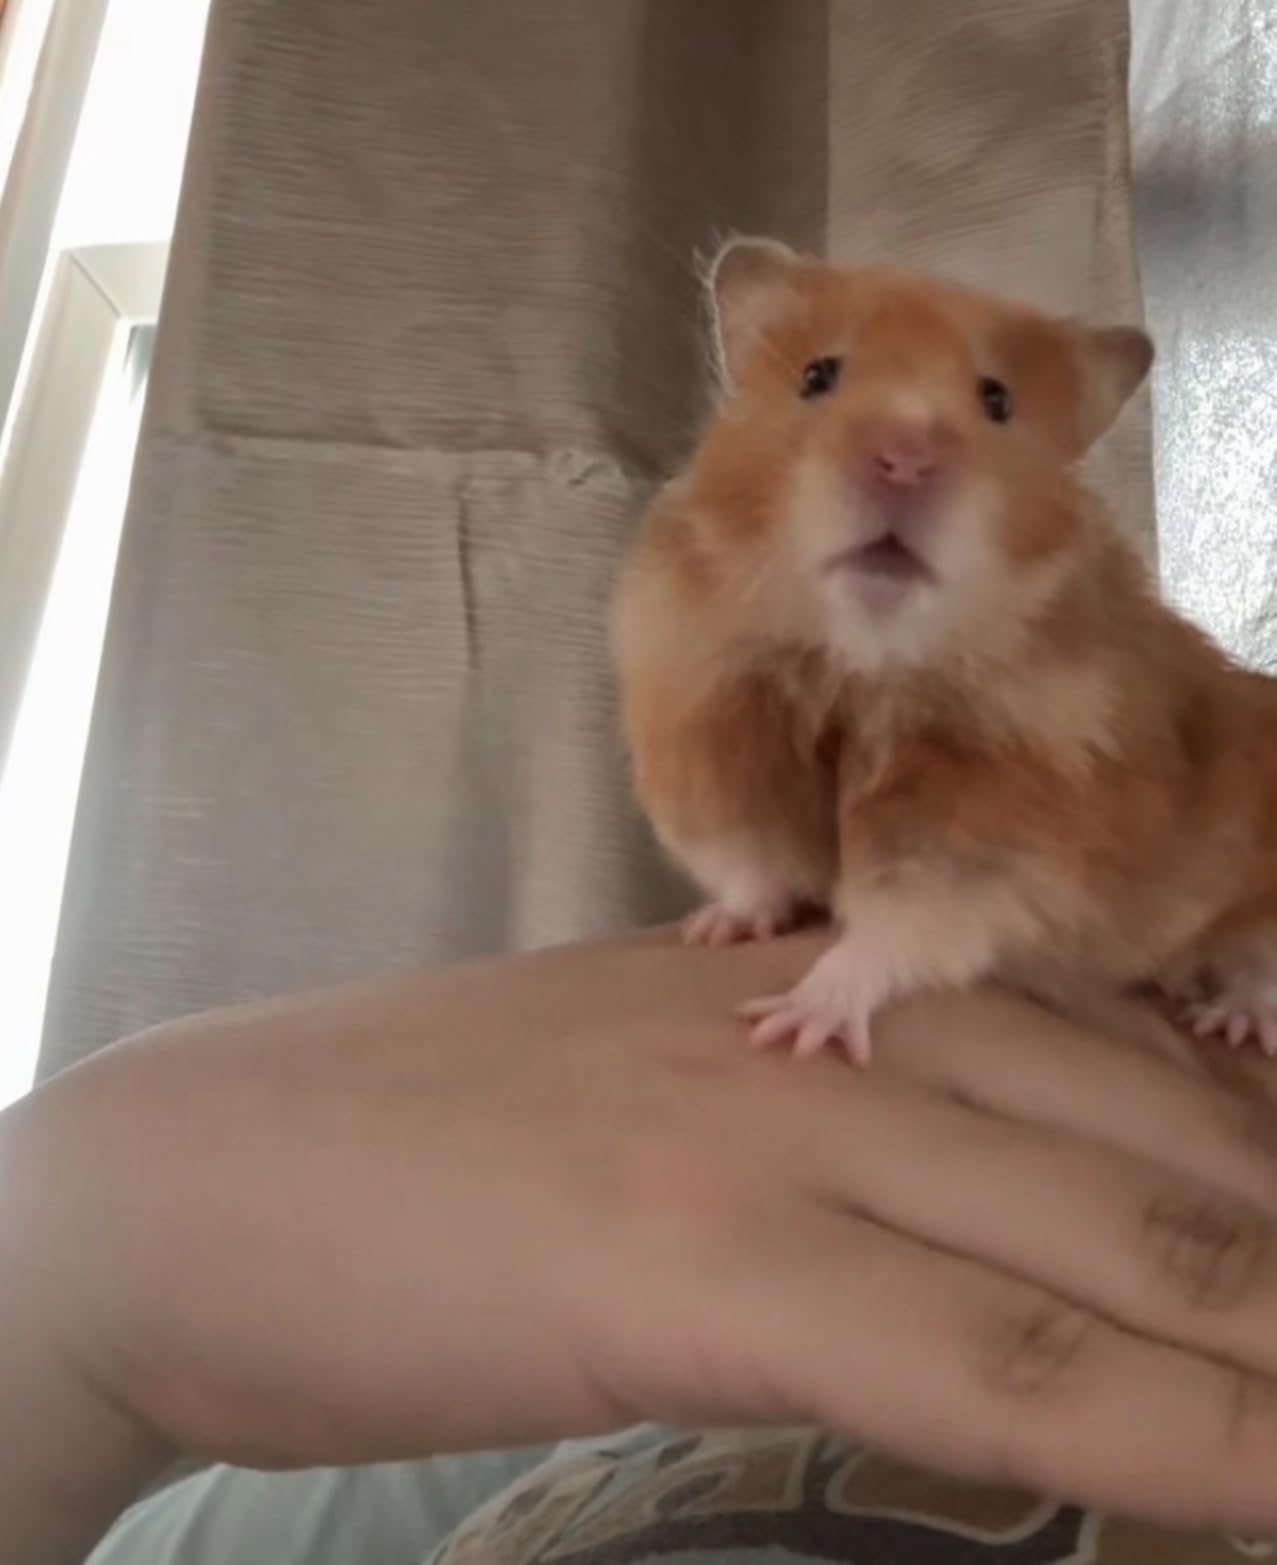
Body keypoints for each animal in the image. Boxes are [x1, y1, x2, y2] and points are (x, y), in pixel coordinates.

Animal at [612, 236, 1277, 1065]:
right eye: (815, 376)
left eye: (996, 402)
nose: (903, 461)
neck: (860, 664)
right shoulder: (722, 748)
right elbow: (754, 873)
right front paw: (713, 931)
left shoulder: (978, 845)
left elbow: (887, 935)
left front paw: (791, 1025)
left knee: (1257, 962)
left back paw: (1232, 1020)